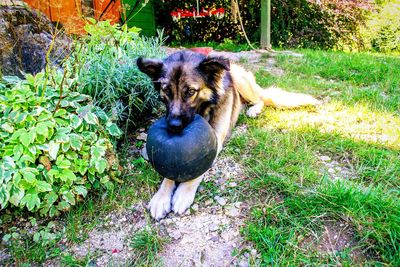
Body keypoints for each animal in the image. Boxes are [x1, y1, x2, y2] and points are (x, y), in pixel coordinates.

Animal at [136, 49, 320, 220]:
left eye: (190, 91)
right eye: (166, 91)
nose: (173, 126)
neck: (204, 109)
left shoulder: (216, 139)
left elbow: (198, 169)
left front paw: (183, 192)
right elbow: (169, 172)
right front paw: (161, 197)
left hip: (241, 82)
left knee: (261, 98)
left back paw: (253, 110)